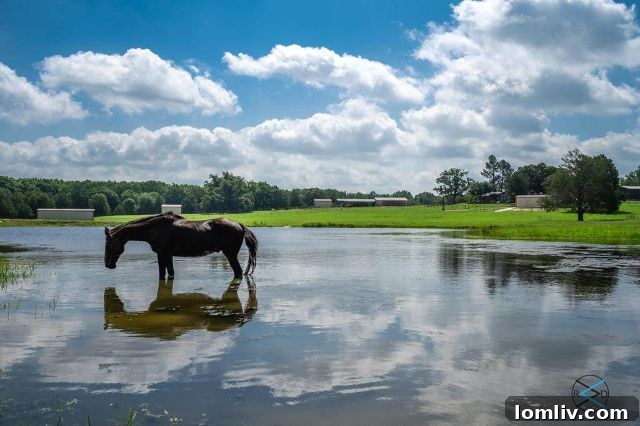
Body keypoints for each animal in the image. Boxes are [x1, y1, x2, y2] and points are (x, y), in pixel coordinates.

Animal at [104, 212, 258, 279]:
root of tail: (240, 225)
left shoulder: (162, 254)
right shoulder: (168, 255)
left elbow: (162, 274)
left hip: (230, 255)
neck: (154, 228)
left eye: (108, 243)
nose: (108, 265)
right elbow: (170, 273)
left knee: (238, 272)